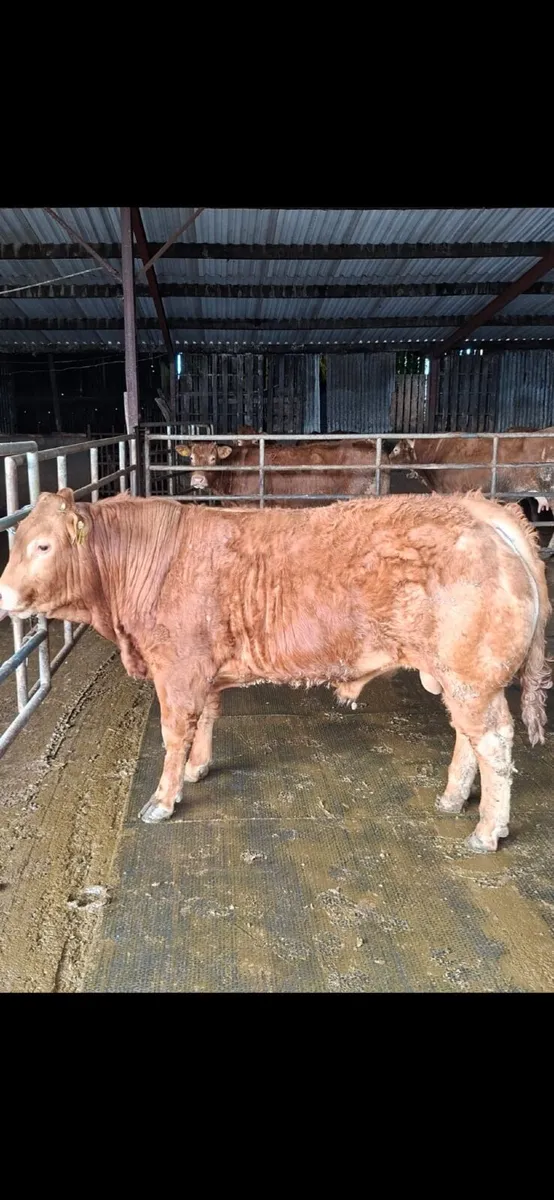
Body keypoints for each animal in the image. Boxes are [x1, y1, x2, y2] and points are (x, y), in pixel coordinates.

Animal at [0, 487, 550, 854]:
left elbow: (174, 732)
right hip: (458, 678)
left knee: (494, 742)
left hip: (471, 676)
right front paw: (198, 768)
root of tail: (476, 508)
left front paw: (163, 799)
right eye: (17, 538)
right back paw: (453, 798)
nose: (3, 593)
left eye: (43, 545)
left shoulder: (177, 669)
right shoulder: (204, 668)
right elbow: (208, 717)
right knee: (467, 736)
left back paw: (487, 830)